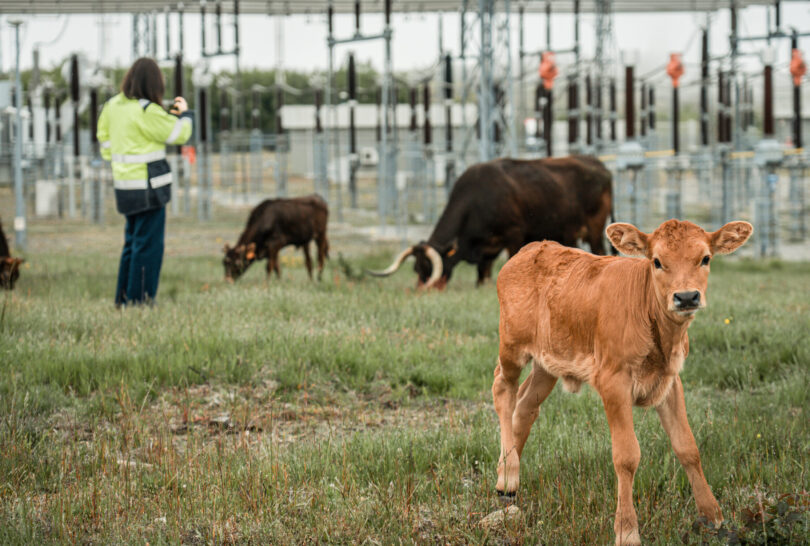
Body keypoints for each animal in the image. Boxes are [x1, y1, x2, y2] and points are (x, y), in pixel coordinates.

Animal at [368, 155, 614, 289]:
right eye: (417, 269)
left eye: (430, 268)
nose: (423, 290)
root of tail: (596, 163)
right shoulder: (487, 251)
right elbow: (481, 277)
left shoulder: (515, 235)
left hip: (595, 230)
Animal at [491, 219, 753, 546]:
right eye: (657, 261)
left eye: (705, 258)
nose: (686, 297)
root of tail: (533, 247)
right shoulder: (613, 381)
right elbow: (626, 456)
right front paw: (627, 530)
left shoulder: (670, 381)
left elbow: (687, 447)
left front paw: (711, 515)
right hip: (511, 346)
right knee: (503, 390)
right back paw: (508, 472)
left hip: (547, 362)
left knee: (526, 405)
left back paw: (508, 482)